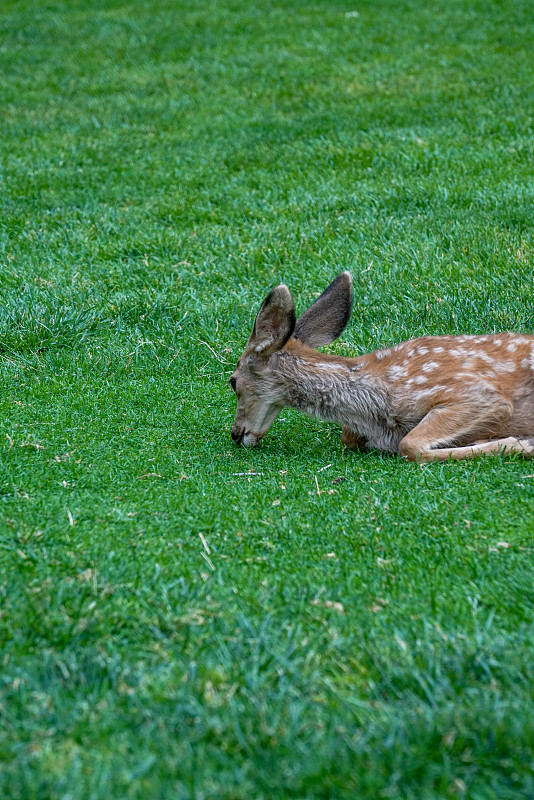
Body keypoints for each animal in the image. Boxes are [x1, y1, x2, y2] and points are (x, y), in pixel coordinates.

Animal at [228, 272, 534, 462]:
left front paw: (521, 444)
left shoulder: (476, 393)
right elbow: (351, 437)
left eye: (232, 381)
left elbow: (409, 446)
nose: (235, 434)